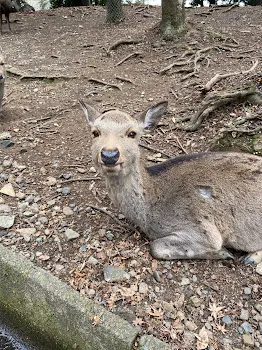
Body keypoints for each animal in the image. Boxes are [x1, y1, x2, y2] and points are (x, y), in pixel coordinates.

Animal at [79, 100, 262, 270]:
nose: (109, 154)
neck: (149, 213)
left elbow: (155, 247)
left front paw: (223, 252)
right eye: (95, 132)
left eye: (132, 133)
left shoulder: (203, 229)